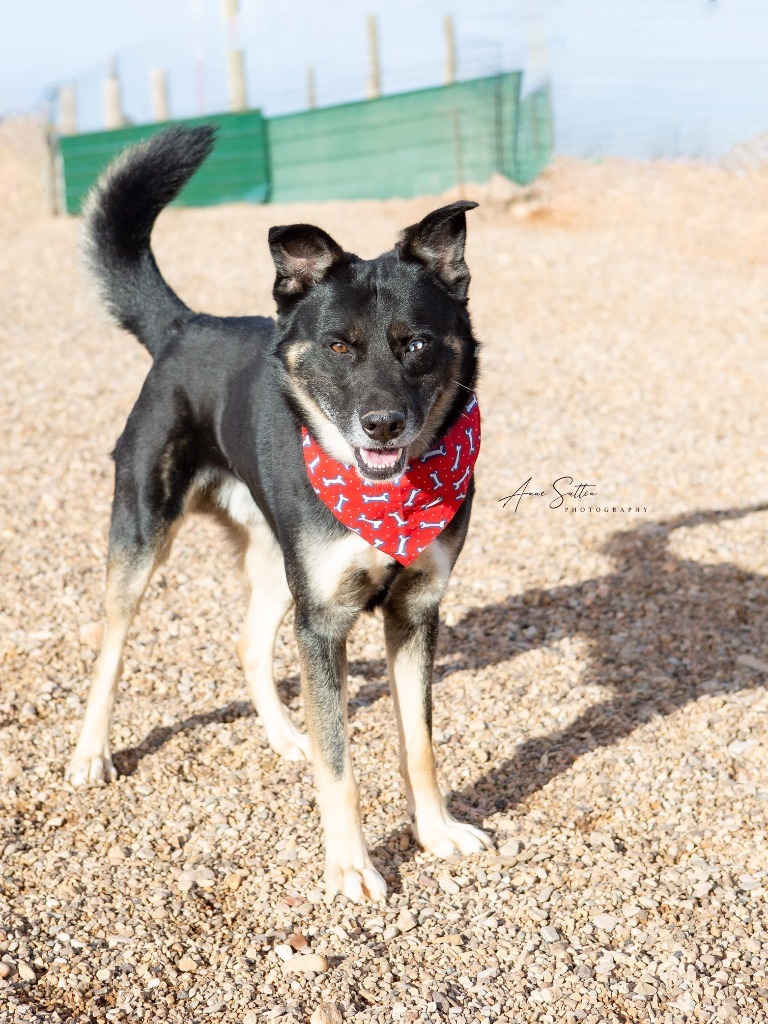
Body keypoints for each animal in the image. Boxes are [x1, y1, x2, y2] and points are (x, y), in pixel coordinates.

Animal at [70, 123, 493, 901]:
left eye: (416, 343)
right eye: (338, 345)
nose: (381, 425)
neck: (388, 500)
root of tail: (186, 324)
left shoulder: (414, 610)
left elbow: (418, 744)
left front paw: (436, 832)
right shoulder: (323, 623)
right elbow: (340, 762)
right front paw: (351, 866)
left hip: (279, 560)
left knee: (248, 641)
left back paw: (284, 733)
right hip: (142, 533)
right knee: (111, 644)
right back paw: (91, 752)